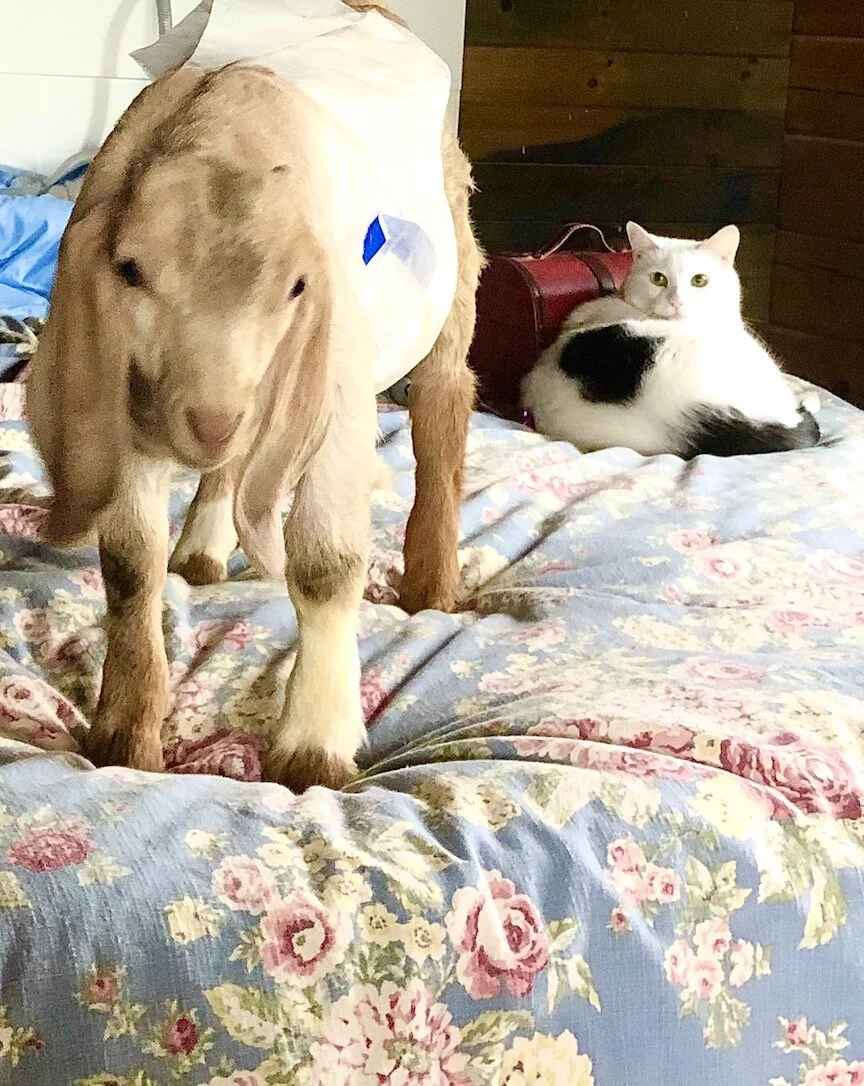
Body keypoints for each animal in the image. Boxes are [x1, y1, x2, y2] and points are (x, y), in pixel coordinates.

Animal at [27, 16, 482, 792]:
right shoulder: (132, 403)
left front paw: (313, 749)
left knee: (444, 414)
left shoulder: (336, 386)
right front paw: (125, 736)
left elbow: (326, 563)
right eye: (129, 270)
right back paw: (203, 545)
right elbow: (129, 560)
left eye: (298, 285)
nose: (209, 423)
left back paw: (432, 582)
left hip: (451, 278)